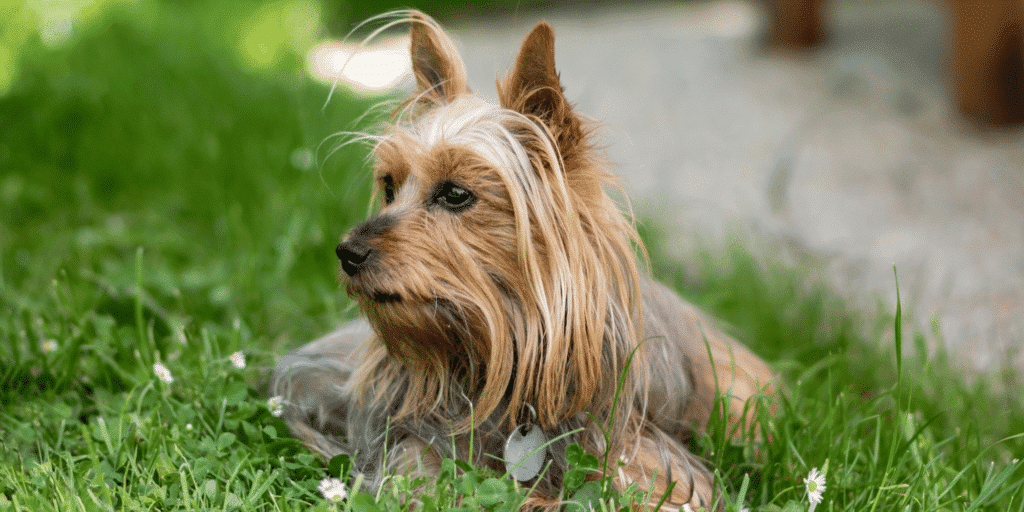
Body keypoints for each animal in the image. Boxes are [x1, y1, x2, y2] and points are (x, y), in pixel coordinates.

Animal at [272, 11, 774, 507]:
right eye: (390, 186)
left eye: (455, 194)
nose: (347, 252)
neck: (498, 352)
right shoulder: (409, 437)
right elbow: (420, 470)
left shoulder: (651, 461)